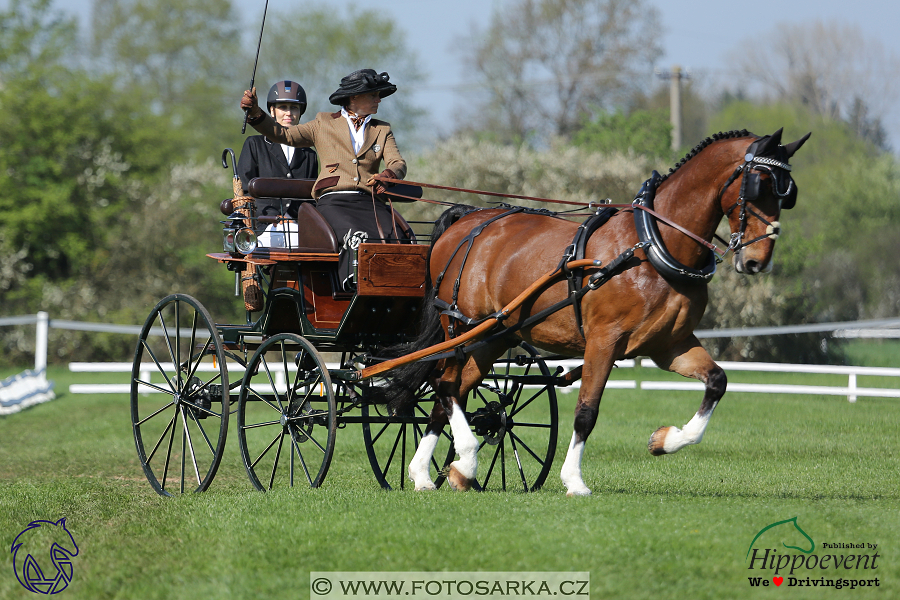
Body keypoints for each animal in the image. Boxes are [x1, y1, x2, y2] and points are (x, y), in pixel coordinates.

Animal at [380, 127, 808, 496]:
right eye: (760, 183)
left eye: (788, 193)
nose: (756, 261)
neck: (650, 245)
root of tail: (466, 220)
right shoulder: (604, 340)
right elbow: (587, 410)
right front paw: (574, 480)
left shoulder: (669, 345)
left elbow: (717, 381)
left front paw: (664, 440)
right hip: (461, 326)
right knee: (445, 385)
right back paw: (463, 459)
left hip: (492, 337)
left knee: (448, 390)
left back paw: (429, 473)